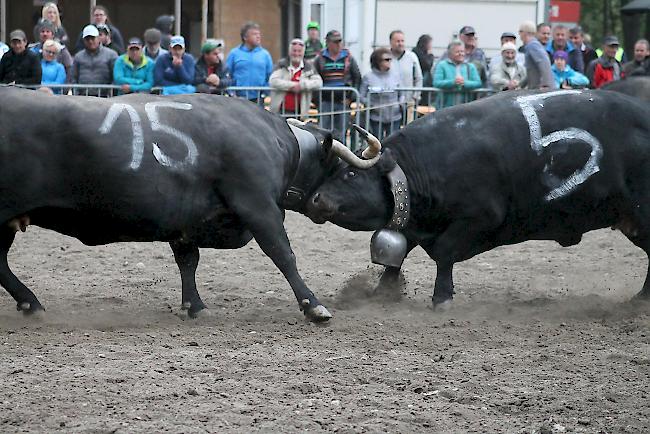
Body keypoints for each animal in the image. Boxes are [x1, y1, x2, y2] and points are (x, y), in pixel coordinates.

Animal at [0, 86, 380, 320]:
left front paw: (193, 305)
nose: (322, 204)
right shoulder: (259, 207)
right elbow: (283, 254)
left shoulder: (183, 221)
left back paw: (29, 302)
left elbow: (188, 262)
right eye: (346, 171)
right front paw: (313, 305)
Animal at [306, 89, 650, 306]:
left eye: (351, 175)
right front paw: (382, 292)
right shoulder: (418, 222)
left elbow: (444, 253)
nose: (316, 199)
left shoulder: (479, 217)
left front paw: (442, 297)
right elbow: (398, 254)